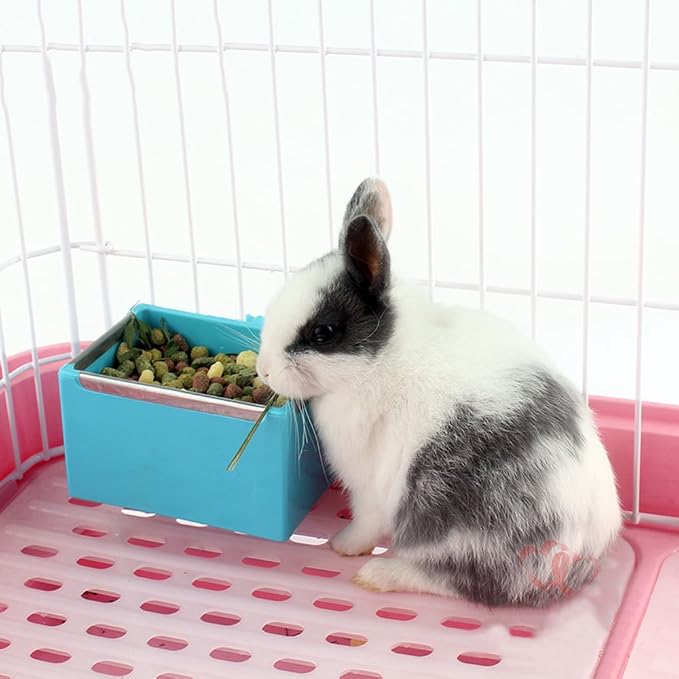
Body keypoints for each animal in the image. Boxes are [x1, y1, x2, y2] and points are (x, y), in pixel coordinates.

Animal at [257, 177, 622, 606]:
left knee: (463, 581)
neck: (380, 359)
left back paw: (379, 574)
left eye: (323, 333)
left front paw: (343, 545)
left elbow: (367, 523)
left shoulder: (368, 487)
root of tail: (577, 557)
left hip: (452, 524)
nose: (264, 369)